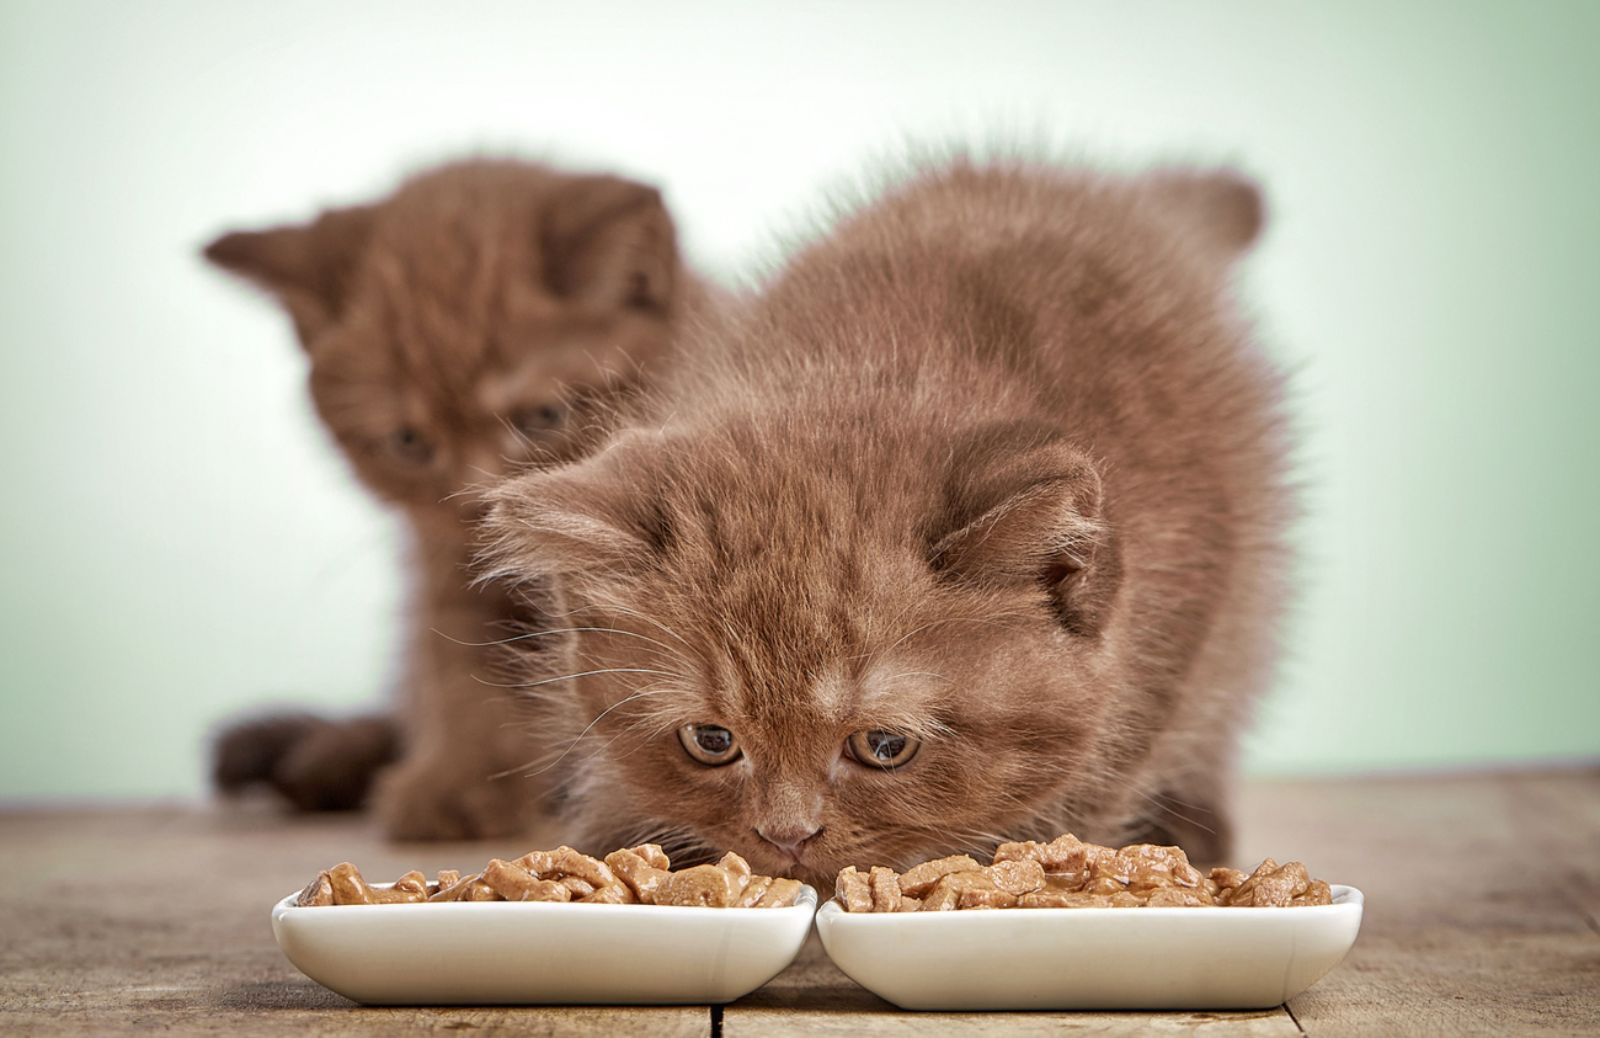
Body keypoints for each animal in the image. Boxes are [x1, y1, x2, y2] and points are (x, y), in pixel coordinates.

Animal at [201, 157, 694, 838]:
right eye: (409, 441)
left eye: (544, 416)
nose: (474, 500)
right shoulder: (450, 568)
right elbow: (462, 677)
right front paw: (461, 782)